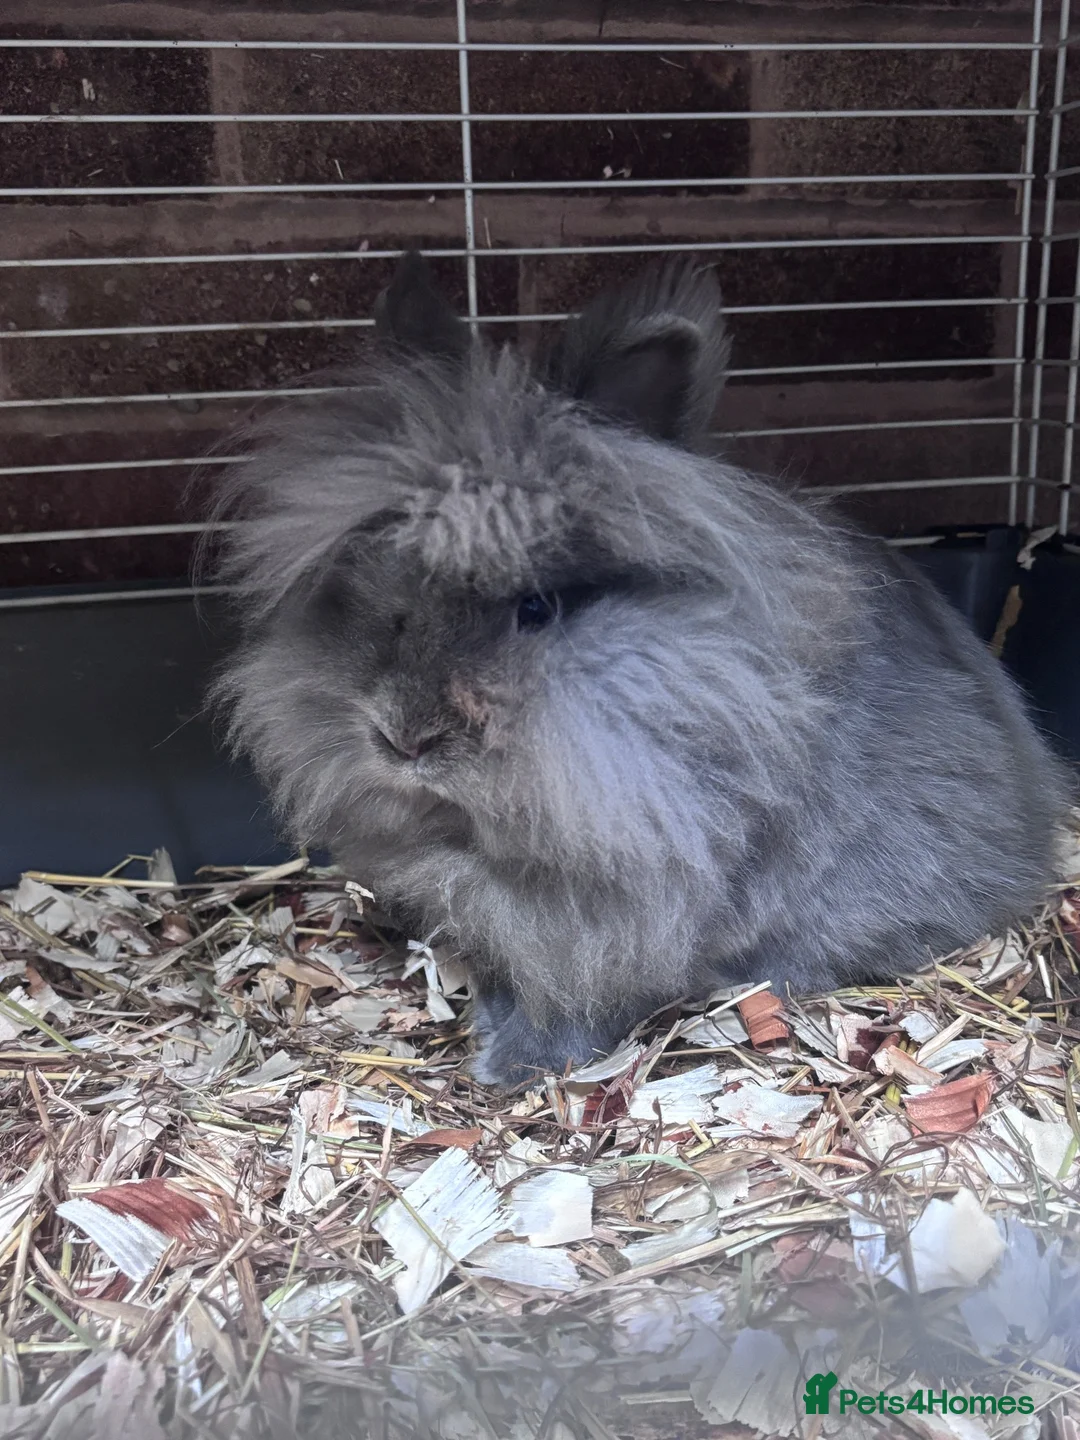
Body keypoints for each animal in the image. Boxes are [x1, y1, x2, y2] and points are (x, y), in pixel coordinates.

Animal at [207, 251, 1072, 1087]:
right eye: (372, 584)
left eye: (537, 608)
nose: (403, 738)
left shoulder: (622, 921)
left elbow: (587, 994)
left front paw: (514, 1068)